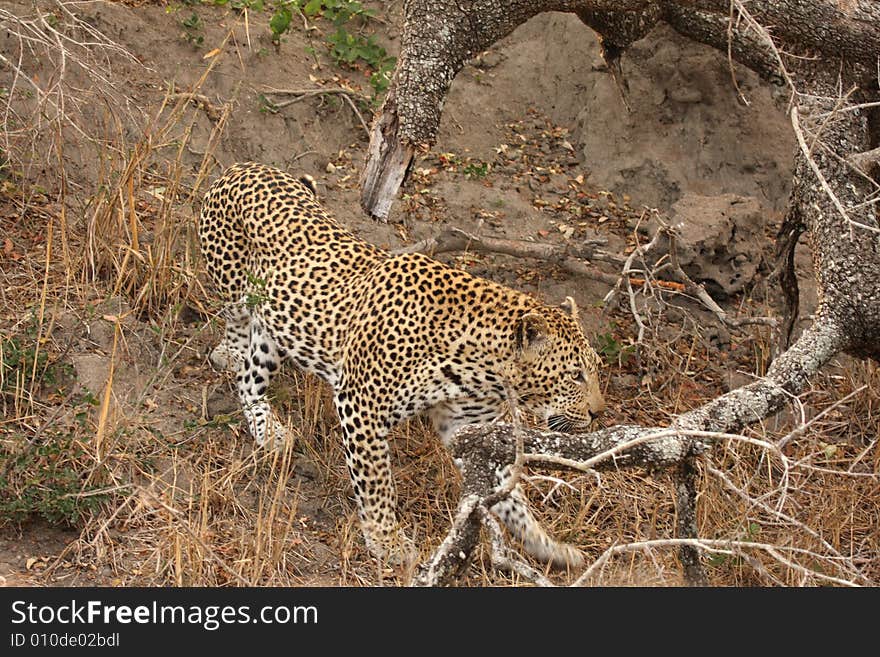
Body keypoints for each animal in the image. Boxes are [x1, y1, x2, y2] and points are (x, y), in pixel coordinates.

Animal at [198, 161, 604, 568]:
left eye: (594, 369)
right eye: (575, 375)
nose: (598, 413)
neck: (482, 370)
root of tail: (244, 166)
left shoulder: (466, 428)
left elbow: (510, 496)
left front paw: (548, 545)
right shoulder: (361, 405)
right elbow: (377, 482)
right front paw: (388, 542)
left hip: (276, 327)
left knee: (250, 378)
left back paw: (268, 429)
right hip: (236, 291)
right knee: (239, 346)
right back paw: (233, 362)